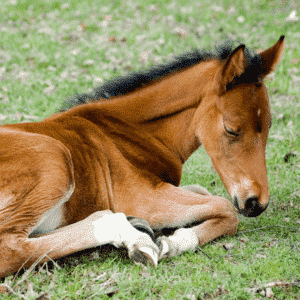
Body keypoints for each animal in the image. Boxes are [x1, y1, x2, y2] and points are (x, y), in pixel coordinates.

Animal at [0, 36, 284, 278]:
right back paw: (137, 240)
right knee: (11, 249)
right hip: (55, 159)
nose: (256, 203)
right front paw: (173, 243)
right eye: (231, 129)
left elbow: (205, 192)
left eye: (269, 126)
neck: (128, 131)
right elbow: (226, 208)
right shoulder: (145, 198)